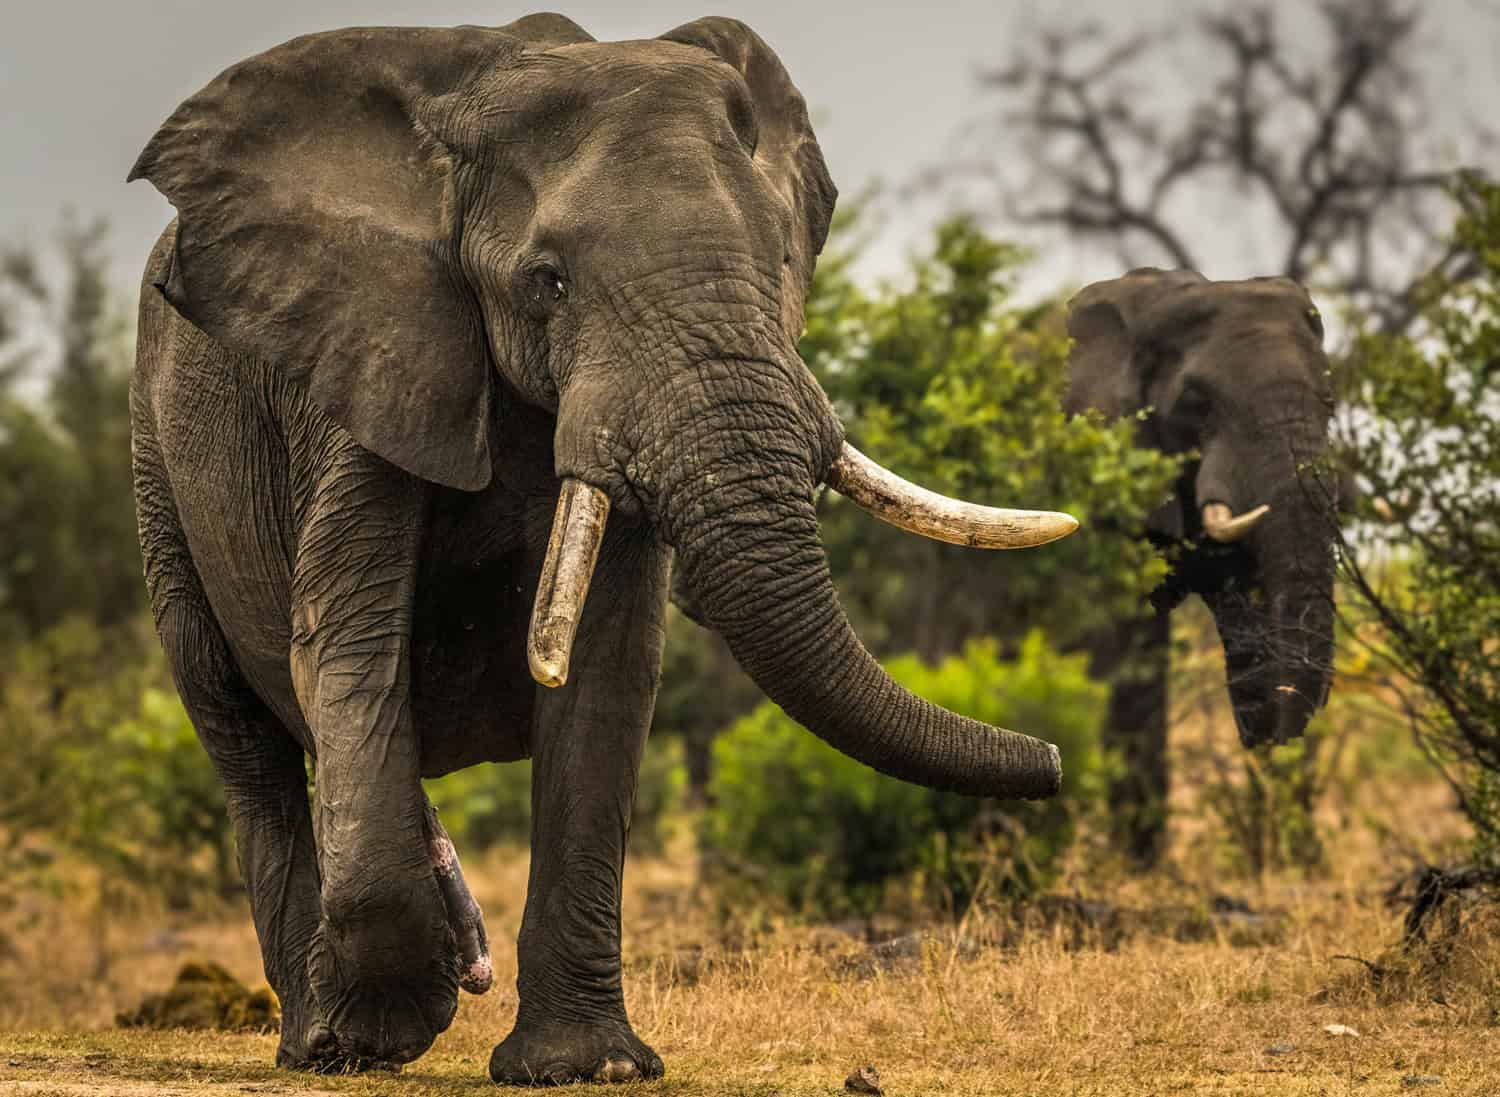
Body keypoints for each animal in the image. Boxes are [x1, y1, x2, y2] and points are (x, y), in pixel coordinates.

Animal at [126, 14, 1079, 1084]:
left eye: (779, 263)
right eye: (549, 282)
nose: (1053, 760)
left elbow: (606, 674)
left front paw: (586, 1068)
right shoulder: (365, 367)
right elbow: (348, 646)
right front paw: (394, 1028)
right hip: (156, 466)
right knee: (240, 733)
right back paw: (321, 1042)